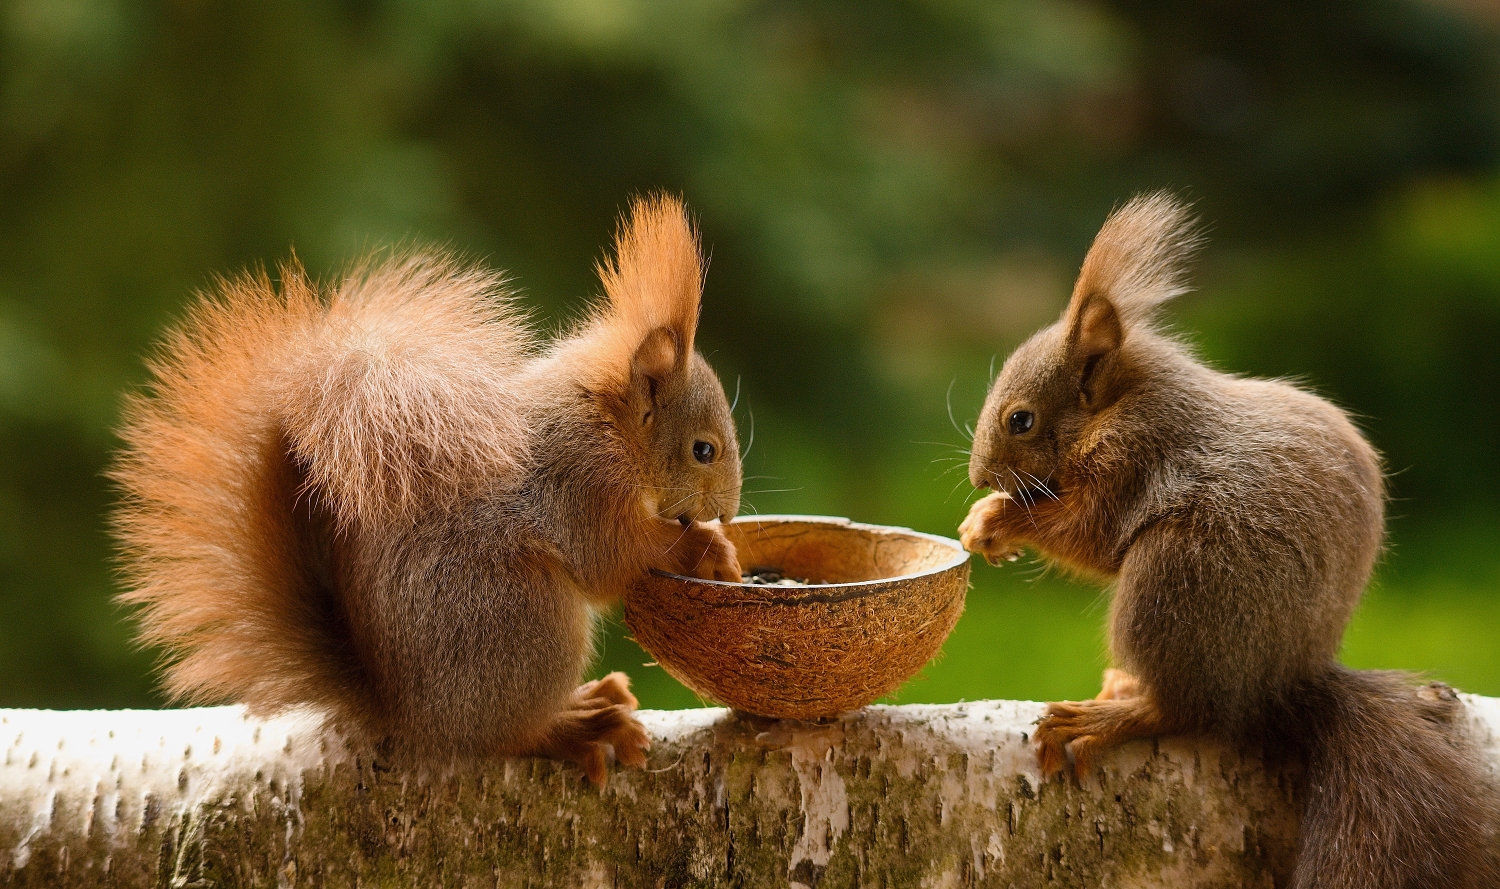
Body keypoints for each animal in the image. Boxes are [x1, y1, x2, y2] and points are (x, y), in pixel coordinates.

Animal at [111, 196, 744, 785]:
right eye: (703, 450)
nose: (727, 511)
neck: (607, 421)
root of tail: (406, 713)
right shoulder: (579, 485)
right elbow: (613, 558)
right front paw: (707, 550)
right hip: (521, 619)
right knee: (508, 733)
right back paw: (577, 729)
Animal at [960, 194, 1500, 887]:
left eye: (1020, 420)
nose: (979, 476)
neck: (1121, 403)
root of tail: (1278, 686)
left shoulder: (1136, 455)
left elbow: (1089, 536)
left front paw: (998, 521)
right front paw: (982, 519)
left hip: (1176, 583)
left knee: (1185, 711)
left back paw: (1109, 717)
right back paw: (1124, 688)